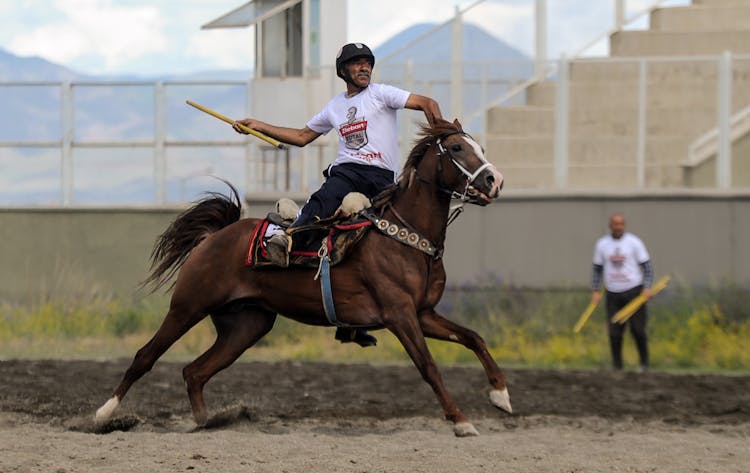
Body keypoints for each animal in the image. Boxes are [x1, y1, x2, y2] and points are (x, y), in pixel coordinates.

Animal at [95, 118, 512, 436]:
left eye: (480, 147)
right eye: (456, 148)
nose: (494, 180)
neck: (404, 236)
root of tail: (215, 236)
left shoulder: (423, 314)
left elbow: (474, 338)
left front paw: (501, 396)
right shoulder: (400, 315)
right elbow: (428, 366)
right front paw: (461, 421)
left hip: (247, 325)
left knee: (194, 372)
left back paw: (205, 422)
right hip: (188, 306)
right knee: (145, 357)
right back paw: (103, 415)